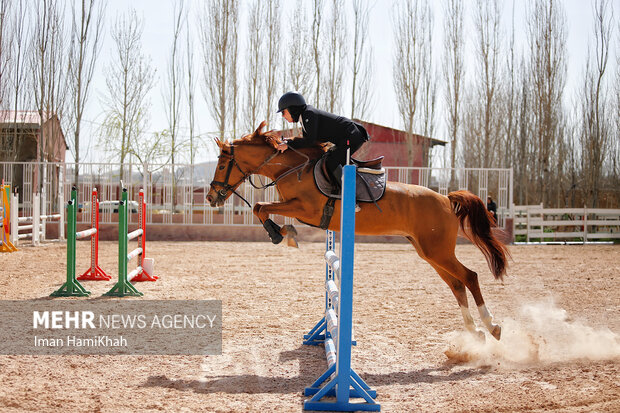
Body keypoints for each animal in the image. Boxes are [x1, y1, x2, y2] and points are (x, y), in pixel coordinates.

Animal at [207, 120, 508, 340]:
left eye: (221, 164)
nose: (211, 198)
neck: (292, 168)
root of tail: (446, 199)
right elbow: (261, 207)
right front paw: (284, 233)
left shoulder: (306, 209)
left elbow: (260, 207)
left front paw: (280, 234)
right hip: (429, 251)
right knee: (456, 284)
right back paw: (475, 331)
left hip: (438, 251)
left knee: (469, 276)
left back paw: (491, 325)